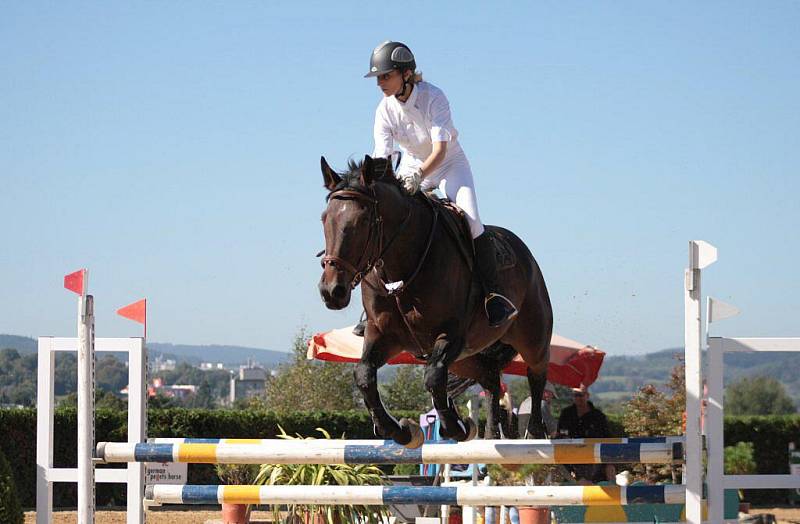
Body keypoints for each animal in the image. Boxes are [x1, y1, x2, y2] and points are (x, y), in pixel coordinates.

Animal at [316, 155, 552, 446]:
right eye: (325, 219)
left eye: (362, 222)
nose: (331, 291)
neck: (400, 267)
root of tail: (526, 254)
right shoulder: (383, 334)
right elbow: (364, 375)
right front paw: (397, 430)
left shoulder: (452, 333)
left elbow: (433, 375)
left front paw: (455, 427)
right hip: (467, 357)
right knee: (490, 379)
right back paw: (490, 434)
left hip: (531, 337)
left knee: (536, 374)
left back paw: (536, 432)